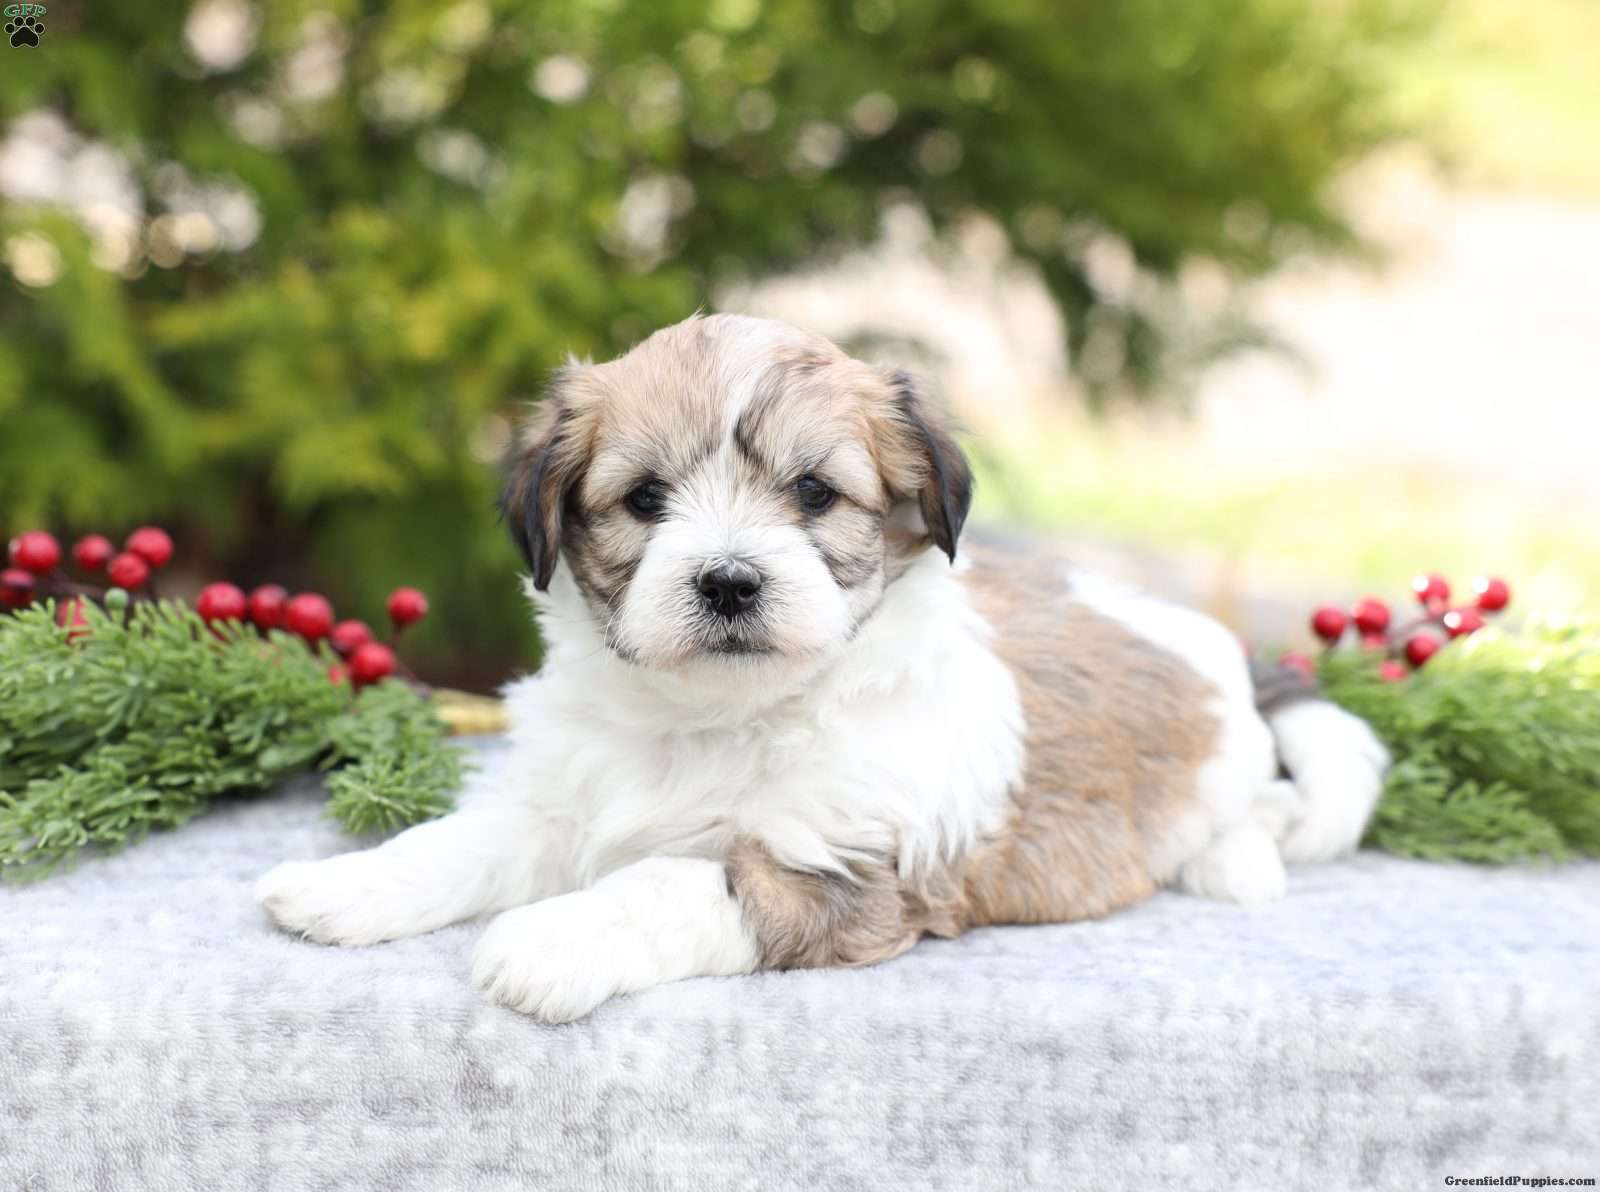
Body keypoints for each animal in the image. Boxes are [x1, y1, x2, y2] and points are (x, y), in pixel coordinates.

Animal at [256, 312, 1388, 1023]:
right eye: (643, 499)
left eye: (813, 493)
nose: (728, 581)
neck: (715, 718)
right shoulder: (564, 798)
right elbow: (466, 837)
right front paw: (348, 882)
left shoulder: (842, 869)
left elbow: (672, 882)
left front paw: (550, 942)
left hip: (1224, 770)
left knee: (1257, 804)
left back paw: (1237, 857)